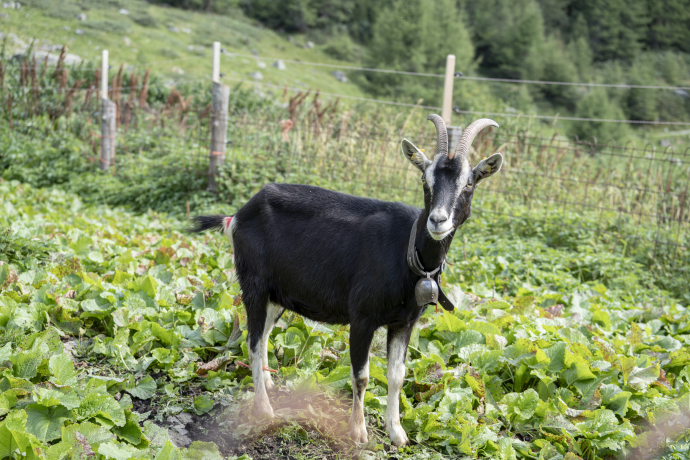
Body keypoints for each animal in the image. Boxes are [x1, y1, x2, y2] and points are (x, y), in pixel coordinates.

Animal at [191, 115, 503, 446]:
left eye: (469, 183)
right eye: (425, 181)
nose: (438, 220)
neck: (406, 251)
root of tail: (236, 215)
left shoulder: (405, 322)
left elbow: (397, 376)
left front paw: (397, 432)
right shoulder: (362, 316)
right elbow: (361, 376)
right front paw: (359, 432)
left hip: (278, 295)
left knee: (262, 336)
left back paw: (270, 385)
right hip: (254, 284)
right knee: (251, 340)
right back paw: (265, 410)